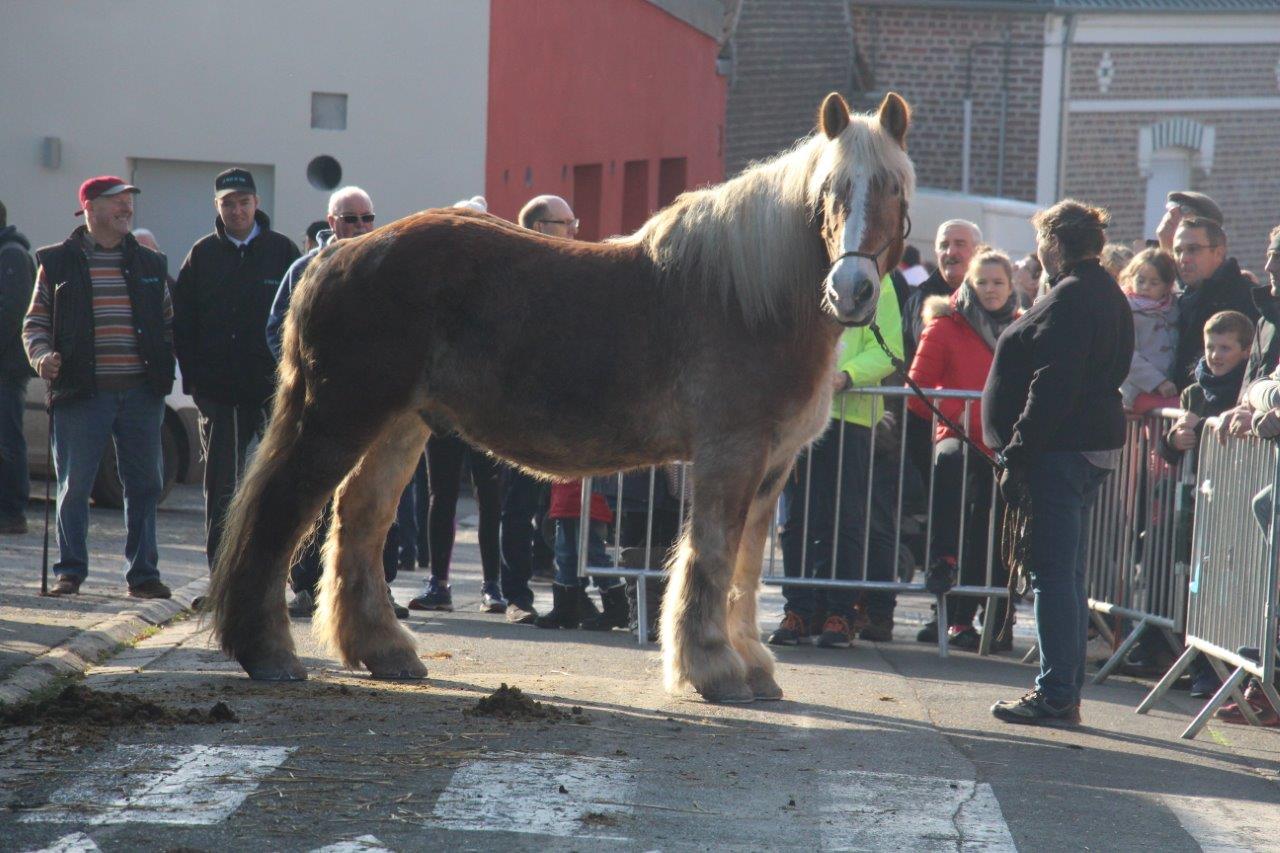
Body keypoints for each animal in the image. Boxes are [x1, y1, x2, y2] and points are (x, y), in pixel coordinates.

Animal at [207, 92, 911, 701]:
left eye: (894, 188)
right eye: (831, 191)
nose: (851, 290)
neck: (749, 299)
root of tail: (336, 255)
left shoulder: (772, 466)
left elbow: (744, 567)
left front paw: (752, 666)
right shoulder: (730, 455)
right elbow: (711, 555)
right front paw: (713, 669)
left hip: (401, 425)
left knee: (362, 520)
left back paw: (386, 651)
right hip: (340, 418)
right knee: (280, 512)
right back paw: (269, 653)